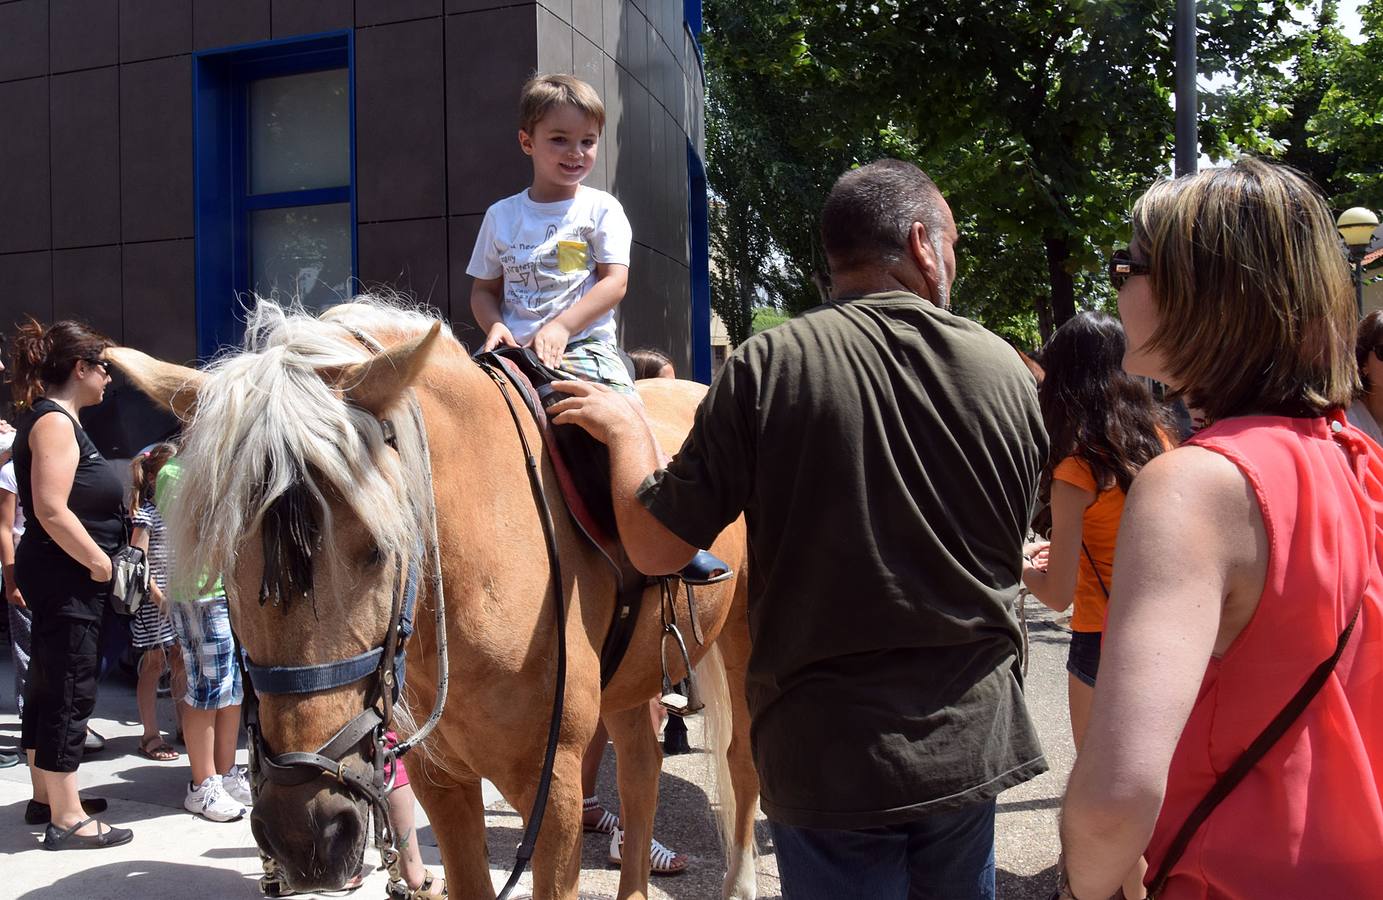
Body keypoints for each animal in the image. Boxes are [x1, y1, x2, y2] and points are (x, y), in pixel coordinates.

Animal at [106, 298, 757, 895]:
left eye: (377, 549)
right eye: (223, 559)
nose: (304, 832)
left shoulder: (556, 793)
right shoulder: (439, 782)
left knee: (740, 763)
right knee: (643, 769)